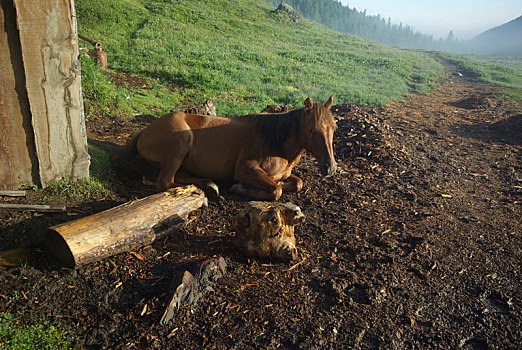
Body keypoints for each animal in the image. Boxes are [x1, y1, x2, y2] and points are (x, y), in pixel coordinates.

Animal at [111, 95, 336, 200]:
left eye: (334, 127)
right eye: (313, 130)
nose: (330, 168)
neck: (274, 141)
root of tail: (145, 131)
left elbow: (296, 183)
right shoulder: (245, 169)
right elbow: (276, 190)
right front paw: (241, 188)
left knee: (178, 177)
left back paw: (209, 184)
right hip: (180, 145)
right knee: (165, 182)